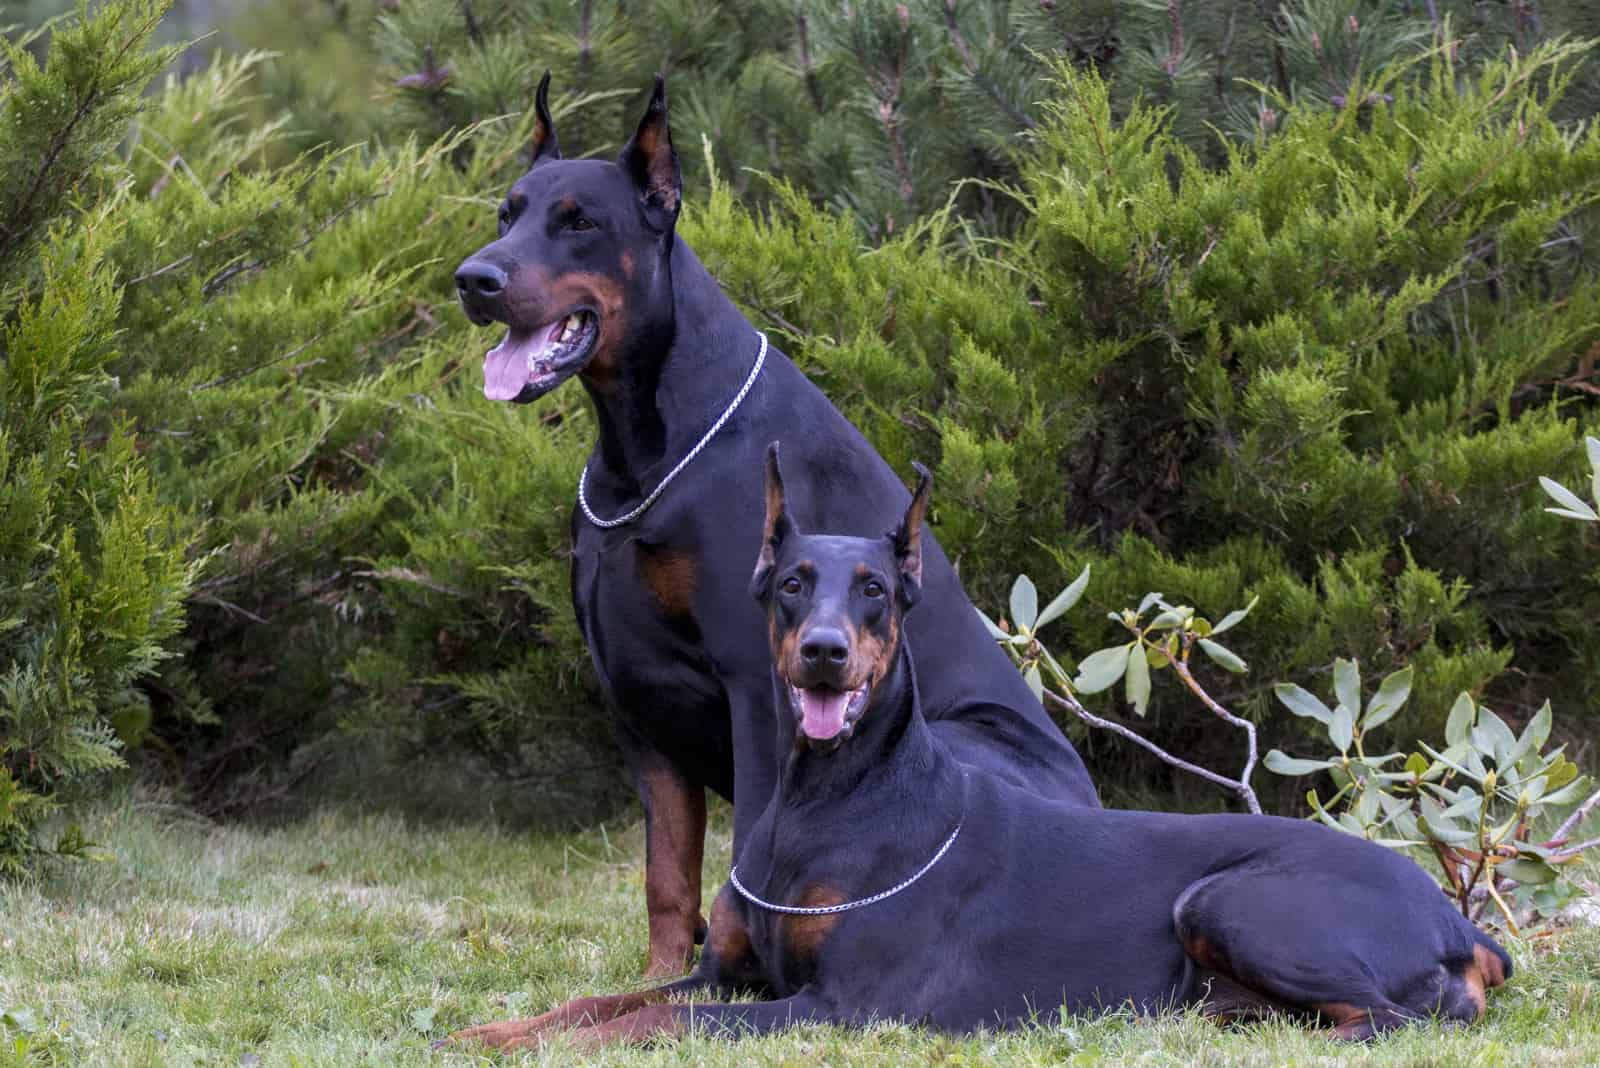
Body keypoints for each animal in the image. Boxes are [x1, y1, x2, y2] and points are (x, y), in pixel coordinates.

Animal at [441, 444, 1510, 1048]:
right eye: (792, 584)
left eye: (875, 589)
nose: (825, 652)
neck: (821, 799)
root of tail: (1461, 921)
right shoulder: (724, 973)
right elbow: (604, 1002)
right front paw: (493, 1027)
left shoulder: (841, 1006)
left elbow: (661, 1020)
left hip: (1225, 900)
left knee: (1408, 1021)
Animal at [451, 70, 1100, 978]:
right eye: (507, 213)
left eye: (579, 221)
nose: (472, 278)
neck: (644, 447)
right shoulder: (635, 703)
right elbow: (666, 874)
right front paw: (663, 975)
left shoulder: (753, 685)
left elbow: (747, 840)